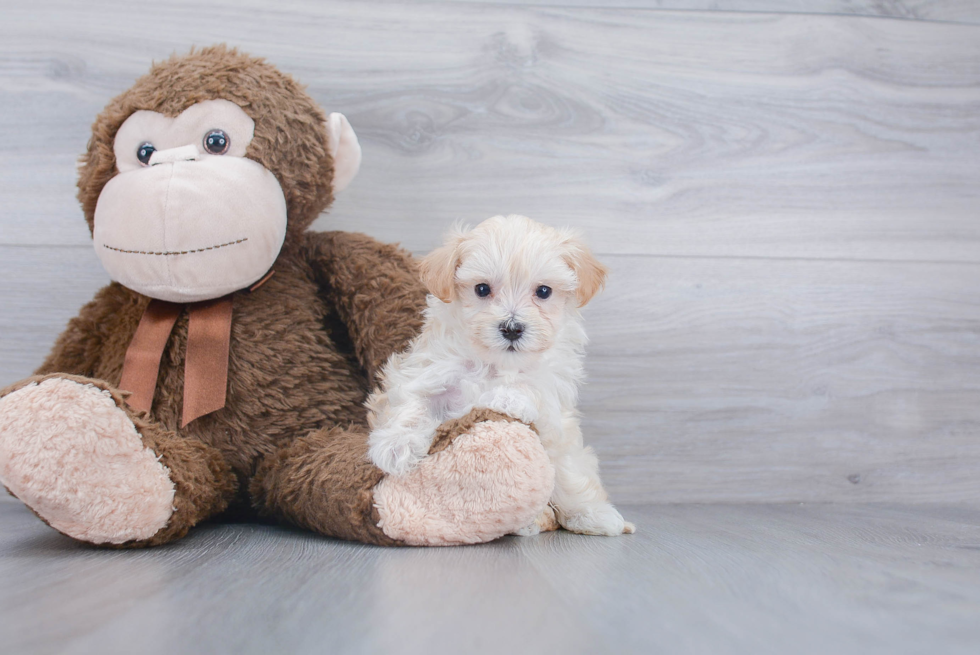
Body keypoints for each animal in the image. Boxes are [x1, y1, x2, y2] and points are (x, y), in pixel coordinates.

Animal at [364, 215, 632, 540]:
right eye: (482, 289)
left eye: (544, 291)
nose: (512, 328)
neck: (494, 363)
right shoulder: (426, 370)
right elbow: (412, 402)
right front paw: (396, 445)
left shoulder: (552, 399)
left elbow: (531, 393)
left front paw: (507, 396)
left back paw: (591, 515)